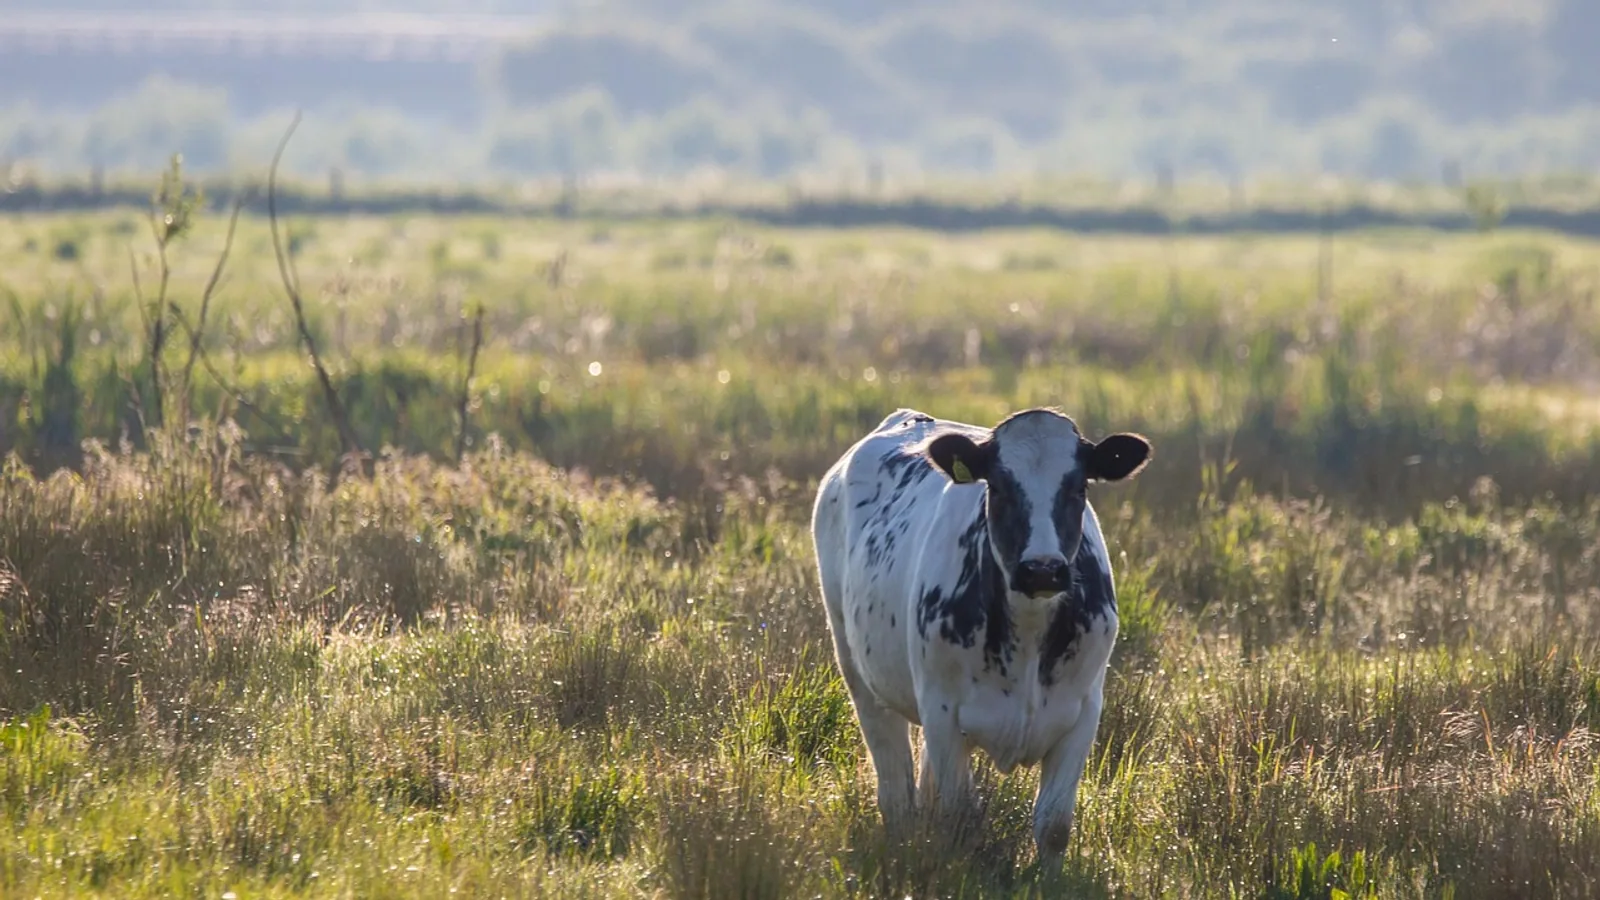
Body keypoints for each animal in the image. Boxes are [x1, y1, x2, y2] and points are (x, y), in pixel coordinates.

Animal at [810, 407, 1150, 859]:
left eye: (1079, 488)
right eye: (999, 487)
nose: (1042, 569)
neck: (1028, 632)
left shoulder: (1083, 712)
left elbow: (1054, 825)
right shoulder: (941, 711)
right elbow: (960, 817)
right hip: (858, 670)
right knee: (897, 790)